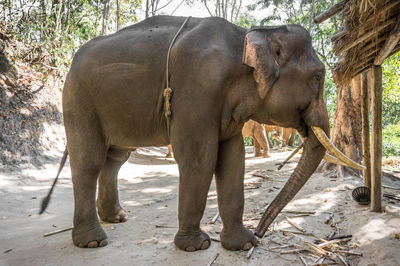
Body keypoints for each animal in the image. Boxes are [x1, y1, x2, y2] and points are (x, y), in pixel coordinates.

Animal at [53, 15, 362, 252]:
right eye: (318, 76)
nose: (260, 233)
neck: (248, 35)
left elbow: (233, 159)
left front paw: (242, 244)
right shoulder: (198, 87)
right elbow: (199, 158)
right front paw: (196, 246)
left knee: (116, 157)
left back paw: (117, 218)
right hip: (78, 99)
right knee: (89, 160)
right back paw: (93, 242)